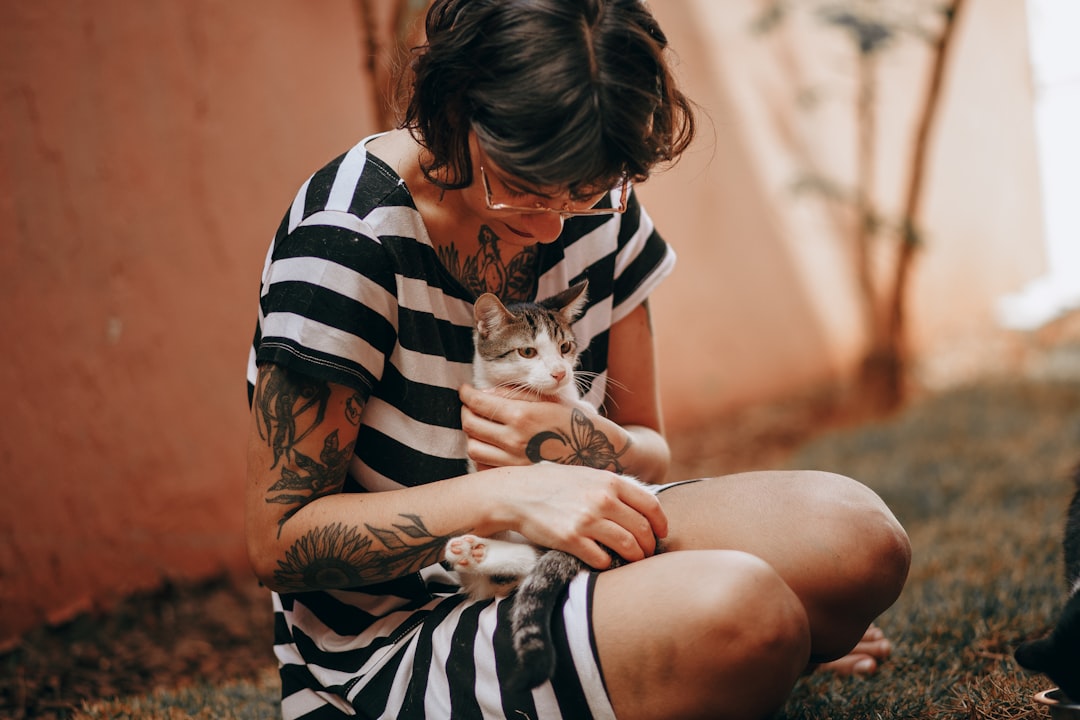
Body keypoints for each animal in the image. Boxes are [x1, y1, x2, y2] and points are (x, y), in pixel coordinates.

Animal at [444, 278, 652, 690]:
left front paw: (580, 407)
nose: (559, 372)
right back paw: (474, 552)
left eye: (565, 348)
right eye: (527, 351)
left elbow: (581, 412)